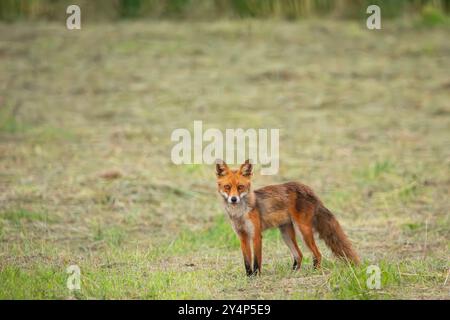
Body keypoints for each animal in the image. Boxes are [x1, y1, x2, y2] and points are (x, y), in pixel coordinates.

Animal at [216, 159, 360, 276]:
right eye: (227, 187)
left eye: (240, 187)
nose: (233, 199)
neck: (239, 213)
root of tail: (308, 189)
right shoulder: (242, 236)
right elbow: (247, 261)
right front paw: (249, 277)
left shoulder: (256, 235)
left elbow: (256, 261)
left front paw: (256, 276)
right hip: (286, 233)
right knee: (299, 255)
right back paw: (293, 272)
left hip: (303, 231)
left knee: (317, 254)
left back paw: (314, 272)